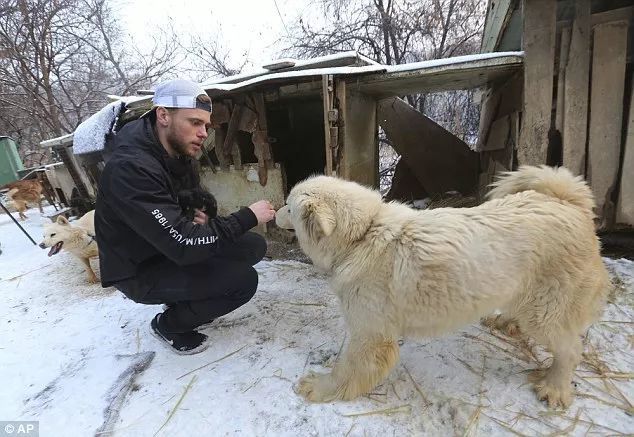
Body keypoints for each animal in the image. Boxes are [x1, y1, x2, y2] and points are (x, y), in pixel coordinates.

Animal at [276, 165, 608, 408]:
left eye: (289, 207)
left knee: (570, 350)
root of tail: (566, 201)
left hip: (545, 312)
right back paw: (505, 322)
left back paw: (555, 387)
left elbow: (345, 369)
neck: (363, 235)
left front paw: (319, 387)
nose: (272, 210)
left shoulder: (369, 336)